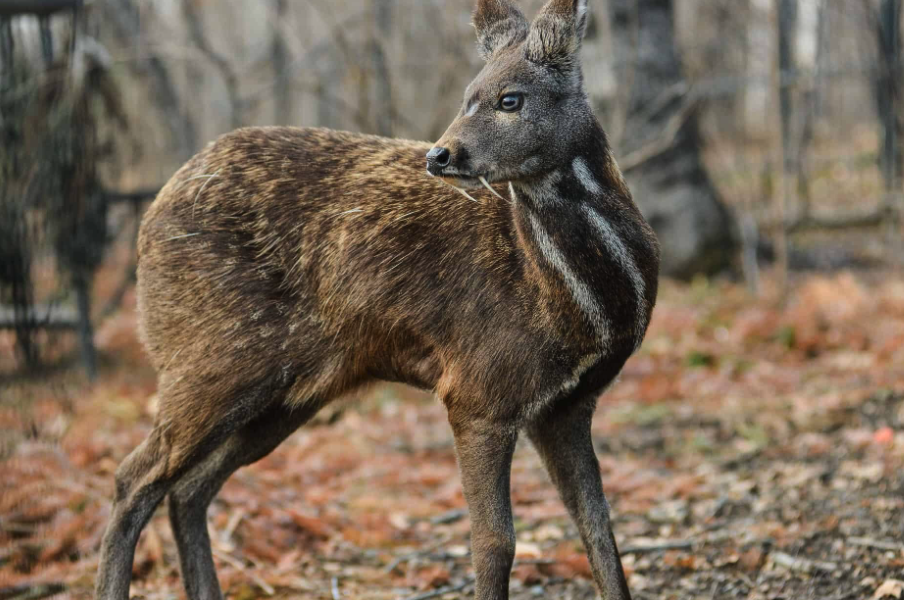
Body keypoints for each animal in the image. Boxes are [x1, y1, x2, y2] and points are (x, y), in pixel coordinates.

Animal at [97, 0, 656, 596]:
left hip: (287, 393)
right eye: (468, 94)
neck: (580, 305)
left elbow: (600, 530)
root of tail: (150, 217)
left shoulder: (567, 405)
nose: (441, 155)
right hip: (210, 358)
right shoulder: (478, 389)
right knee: (132, 478)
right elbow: (494, 543)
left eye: (511, 99)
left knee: (187, 489)